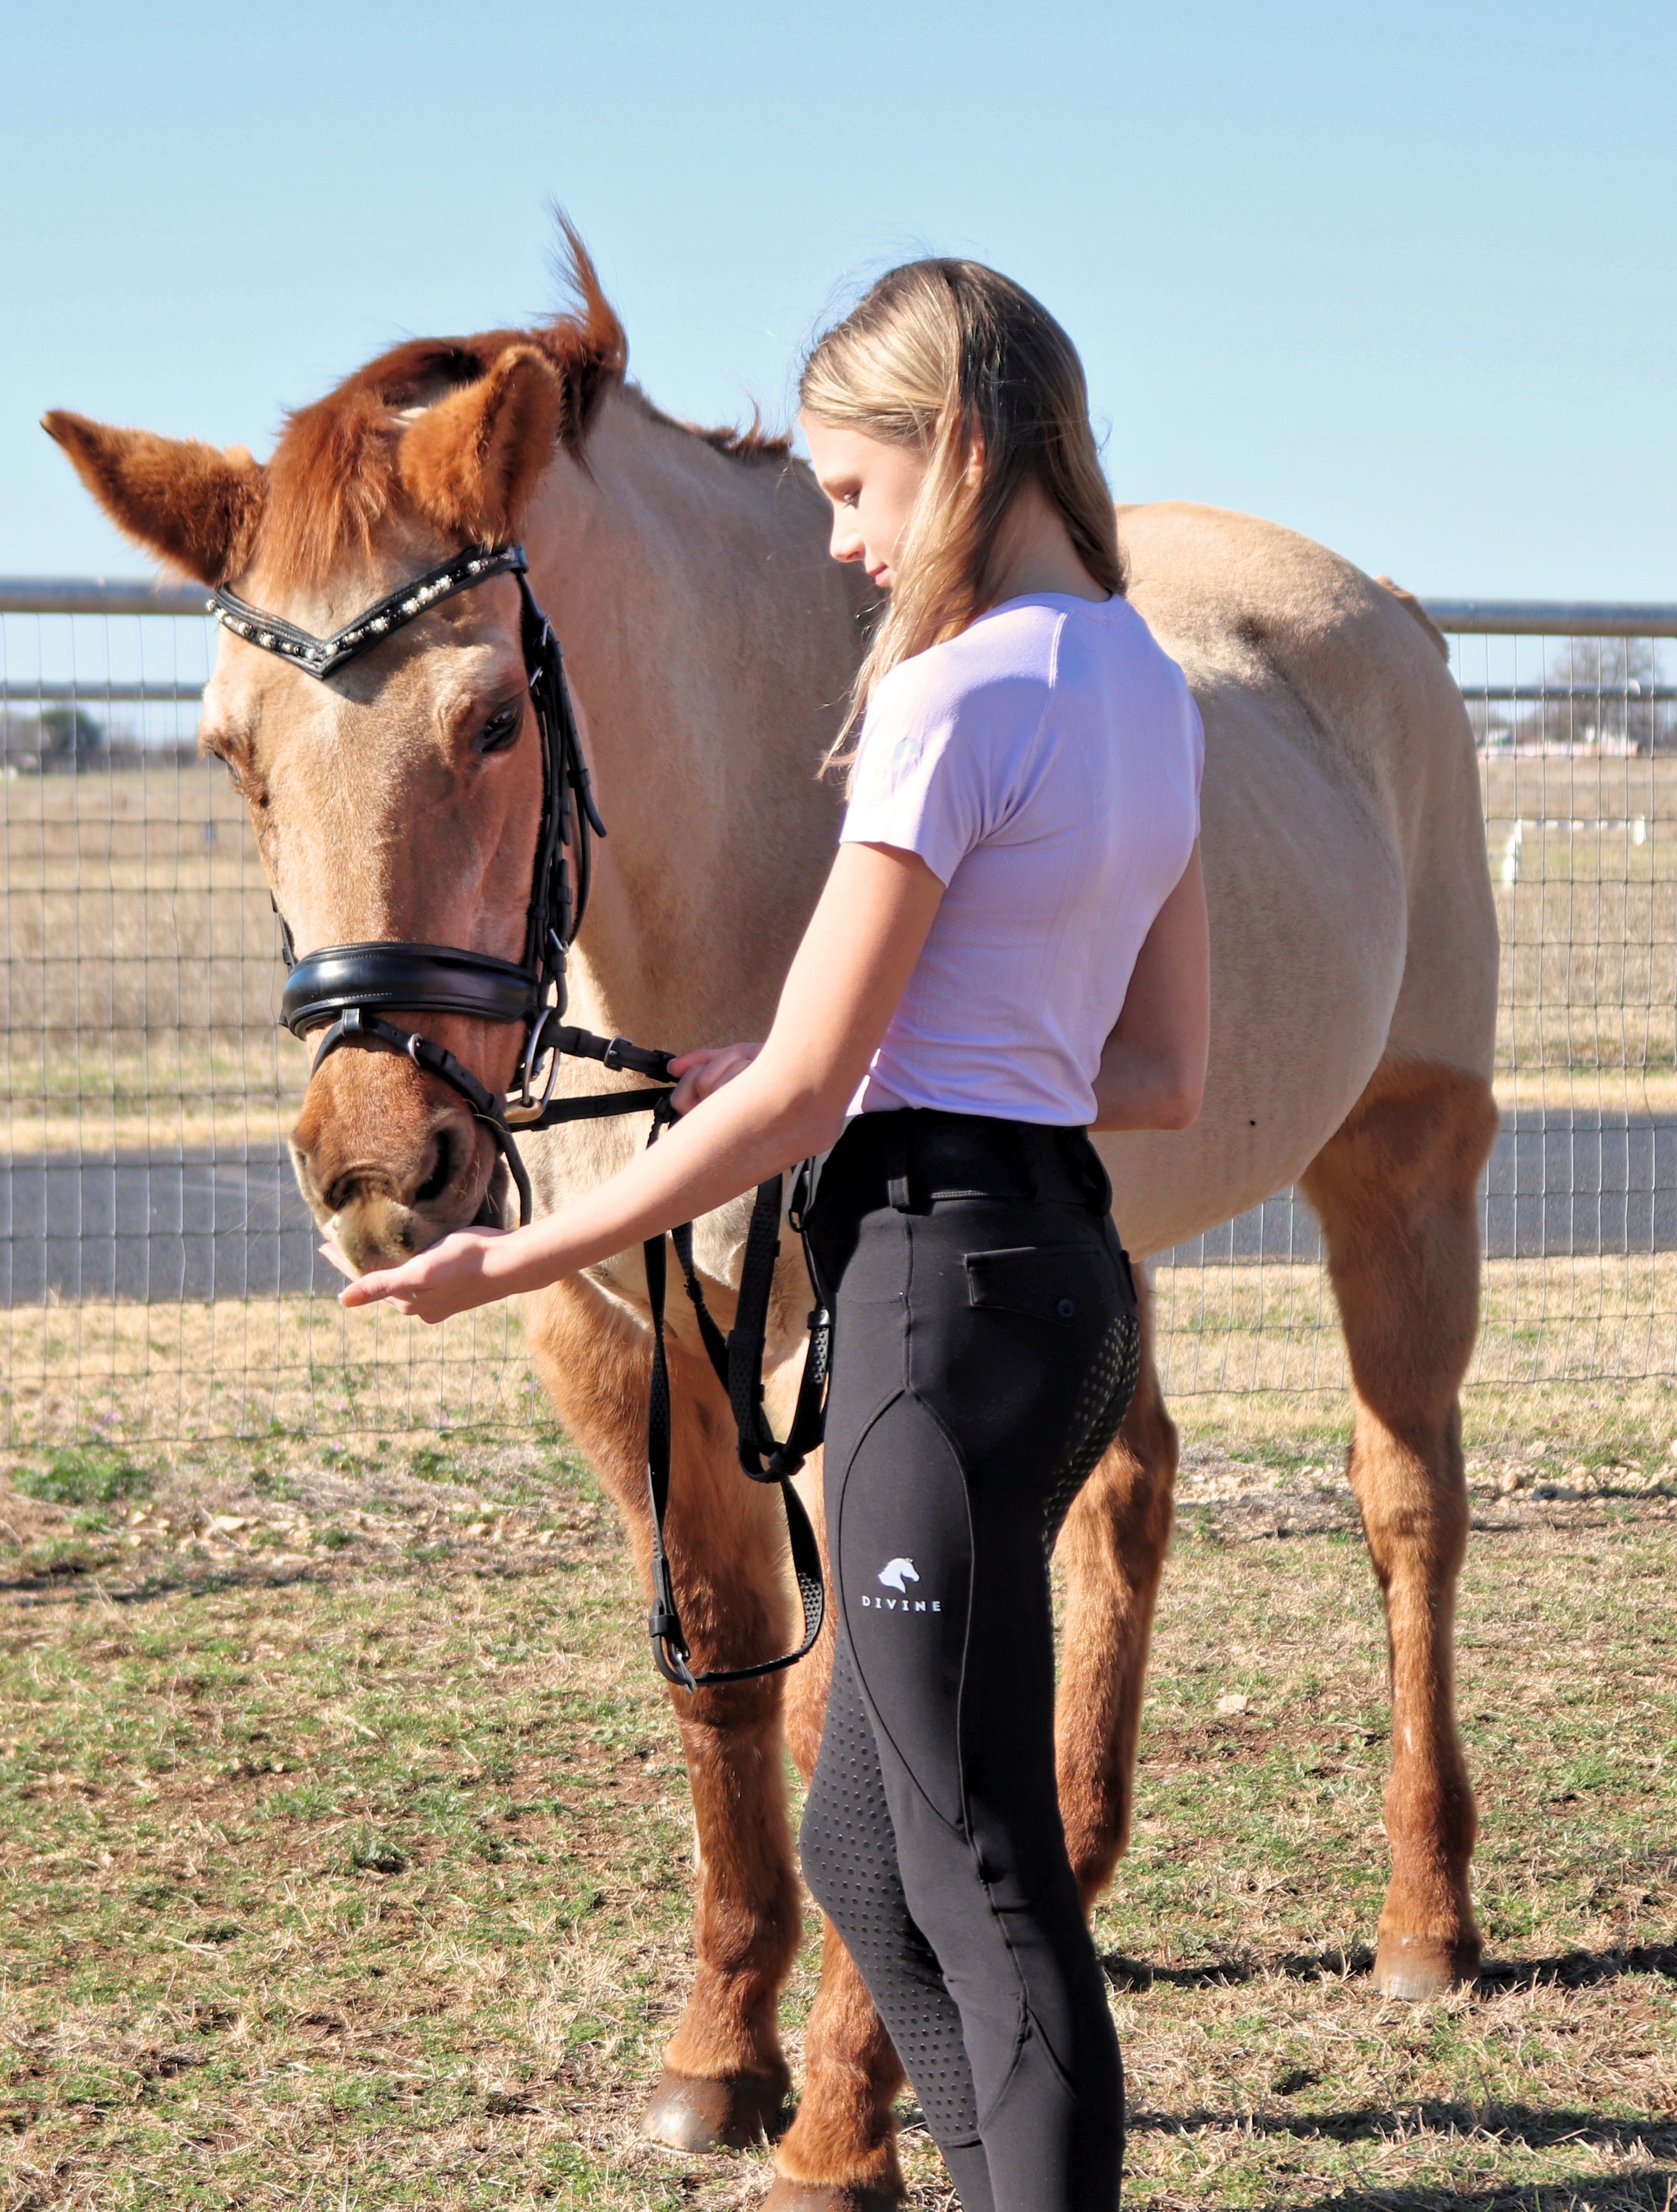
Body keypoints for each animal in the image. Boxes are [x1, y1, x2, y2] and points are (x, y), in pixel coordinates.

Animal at [49, 233, 1495, 2203]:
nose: (381, 1171)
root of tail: (1394, 616)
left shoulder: (821, 1355)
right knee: (1125, 1491)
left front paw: (837, 2120)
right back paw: (1088, 1862)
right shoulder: (618, 1329)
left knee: (1407, 1507)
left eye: (491, 717)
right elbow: (725, 1677)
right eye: (225, 752)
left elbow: (842, 1714)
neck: (736, 868)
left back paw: (1428, 1921)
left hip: (1405, 1168)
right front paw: (717, 2053)